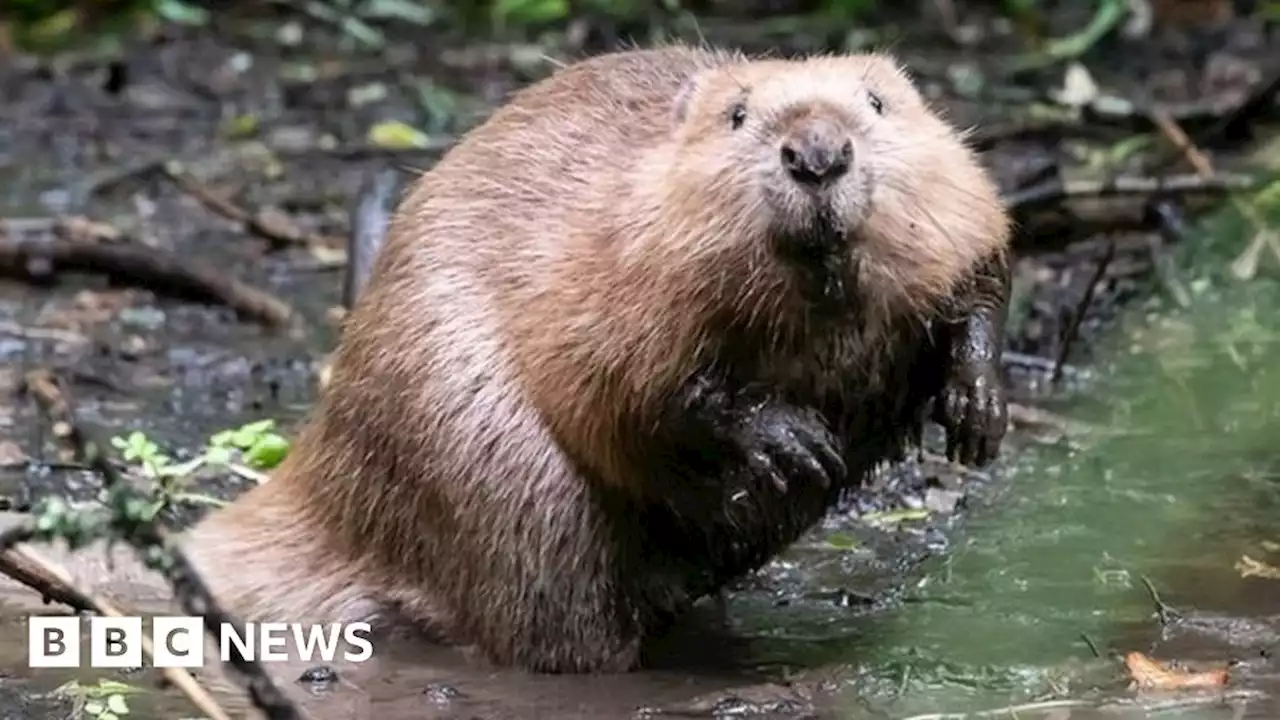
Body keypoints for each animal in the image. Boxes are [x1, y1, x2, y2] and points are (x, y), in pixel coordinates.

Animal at [185, 44, 1013, 671]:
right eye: (736, 115)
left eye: (877, 102)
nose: (817, 154)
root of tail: (320, 483)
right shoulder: (609, 256)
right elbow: (622, 387)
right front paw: (793, 441)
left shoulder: (959, 206)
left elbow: (985, 276)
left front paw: (977, 412)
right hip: (491, 464)